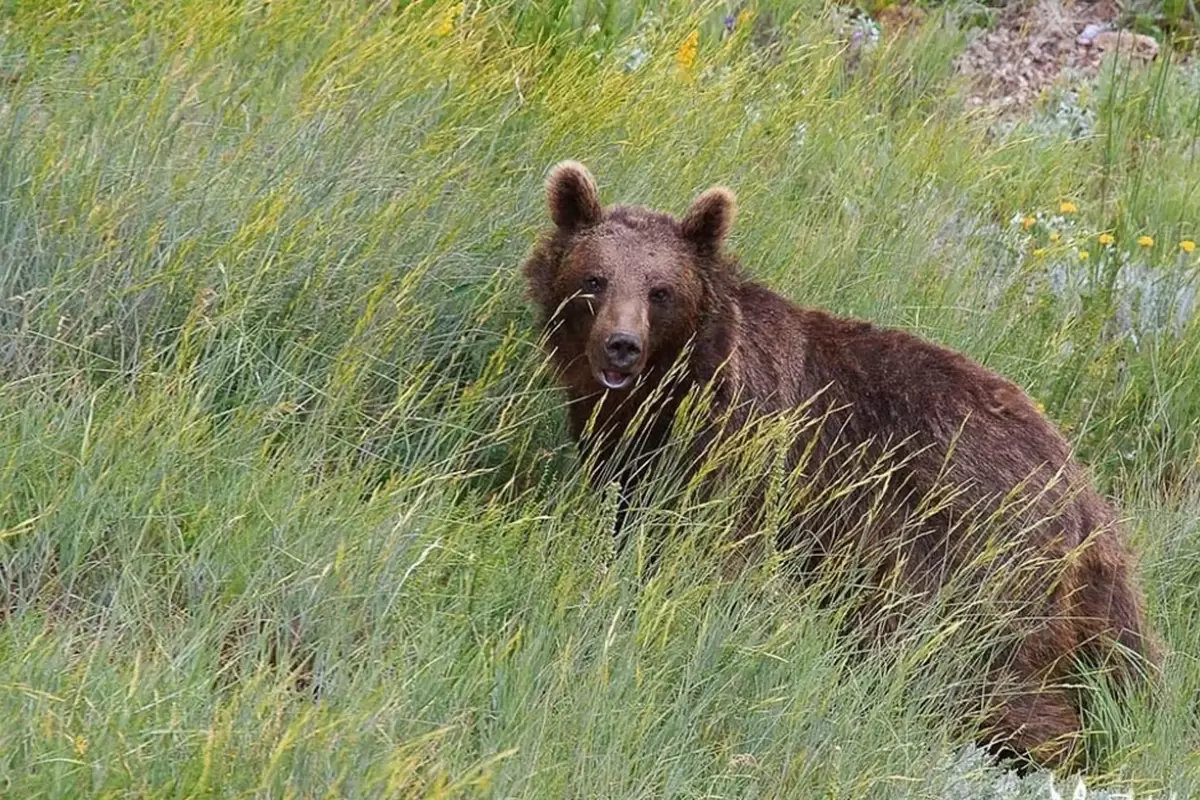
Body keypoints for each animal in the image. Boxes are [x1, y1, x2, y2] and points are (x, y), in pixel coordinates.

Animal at [520, 160, 1156, 767]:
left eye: (660, 290)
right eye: (595, 279)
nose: (621, 345)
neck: (668, 392)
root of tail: (1085, 494)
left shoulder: (745, 448)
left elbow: (718, 552)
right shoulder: (629, 452)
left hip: (969, 547)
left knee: (969, 659)